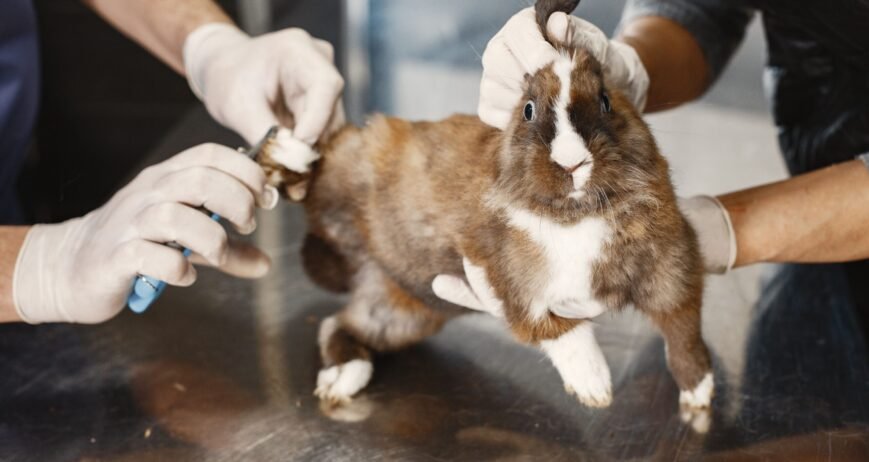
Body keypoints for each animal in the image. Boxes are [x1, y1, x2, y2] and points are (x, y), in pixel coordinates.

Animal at [258, 0, 713, 417]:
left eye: (605, 101)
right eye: (528, 110)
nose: (572, 163)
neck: (576, 217)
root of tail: (359, 262)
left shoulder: (672, 269)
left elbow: (683, 330)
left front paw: (699, 392)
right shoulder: (511, 282)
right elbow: (560, 331)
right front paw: (595, 386)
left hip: (405, 310)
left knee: (340, 324)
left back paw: (342, 378)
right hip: (347, 170)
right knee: (311, 174)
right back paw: (287, 150)